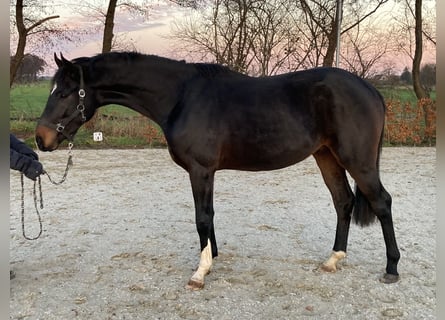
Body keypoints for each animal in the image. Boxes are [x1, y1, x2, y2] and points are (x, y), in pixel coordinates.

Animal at [34, 52, 398, 288]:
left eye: (64, 92)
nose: (41, 138)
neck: (181, 97)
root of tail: (370, 90)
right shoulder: (207, 172)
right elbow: (209, 215)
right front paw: (212, 257)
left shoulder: (200, 170)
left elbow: (201, 217)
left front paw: (200, 271)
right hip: (326, 156)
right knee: (343, 201)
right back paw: (333, 259)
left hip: (358, 161)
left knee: (381, 202)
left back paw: (392, 268)